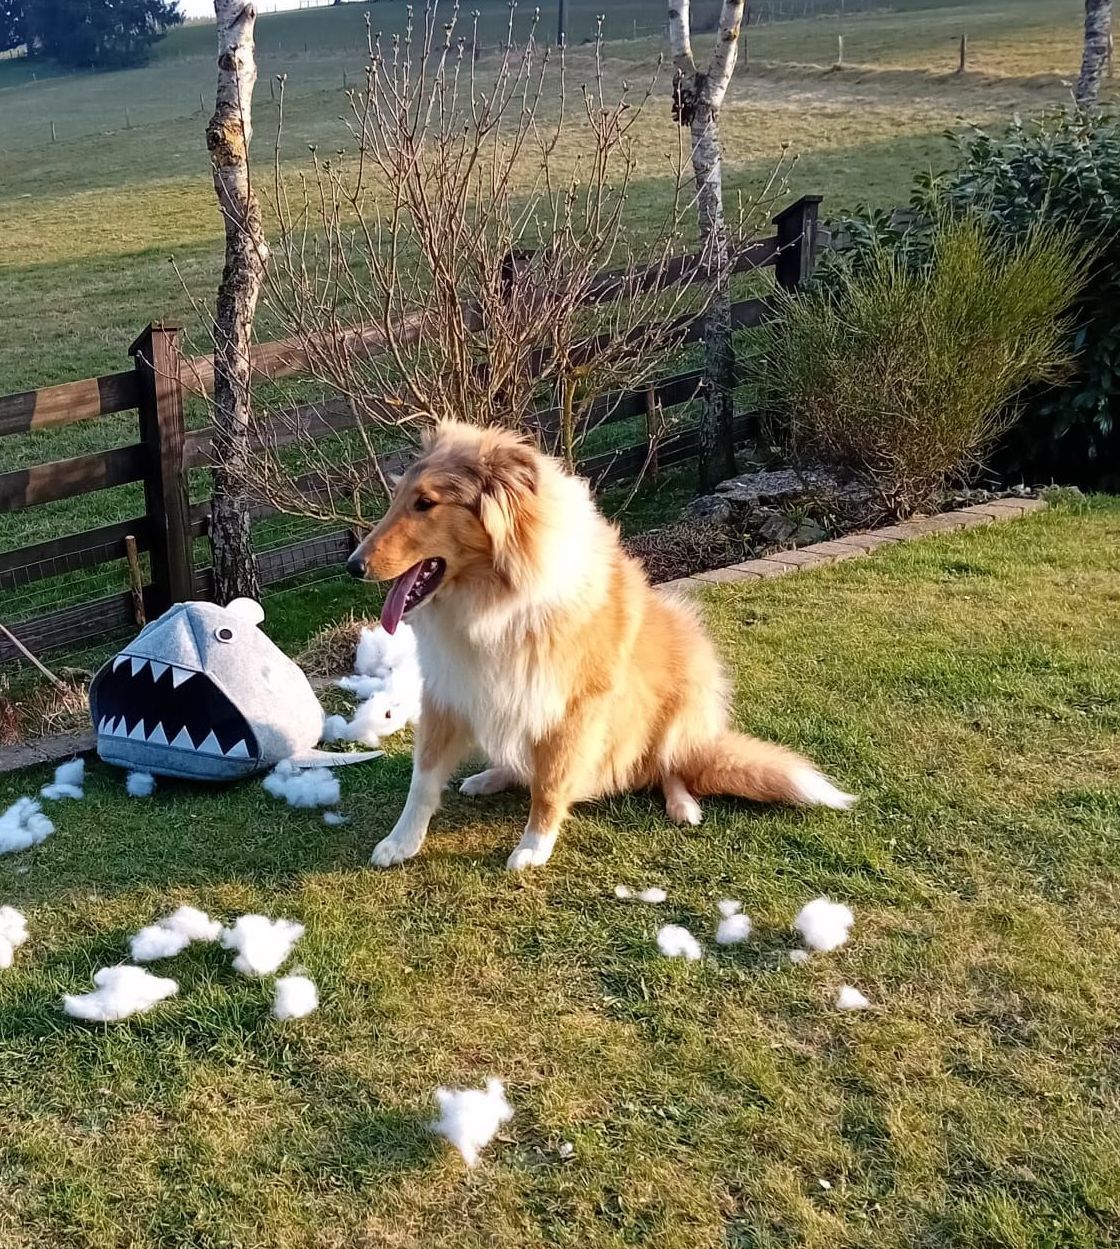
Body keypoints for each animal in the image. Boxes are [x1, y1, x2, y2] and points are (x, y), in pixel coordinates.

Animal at [347, 421, 855, 870]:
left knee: (672, 766)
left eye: (426, 503)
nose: (353, 566)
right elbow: (423, 781)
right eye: (398, 499)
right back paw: (491, 776)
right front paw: (400, 843)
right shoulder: (449, 692)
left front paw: (533, 848)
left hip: (683, 690)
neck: (493, 600)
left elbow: (550, 784)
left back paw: (683, 805)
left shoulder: (572, 708)